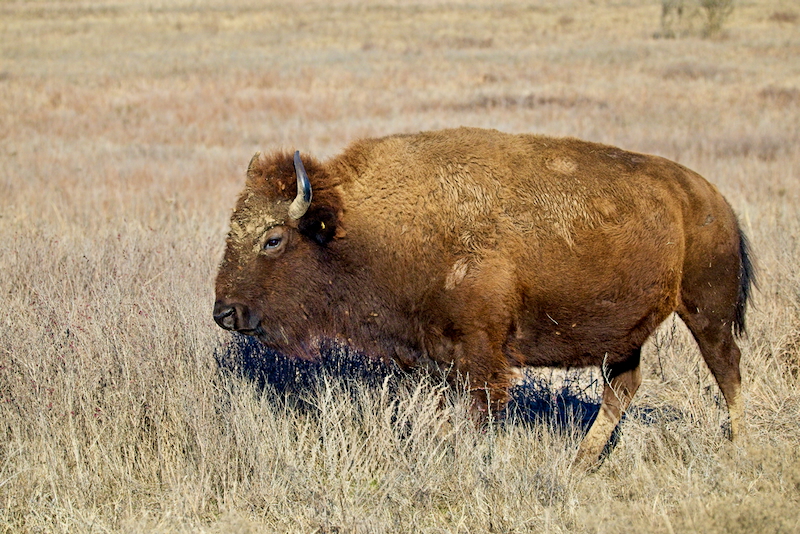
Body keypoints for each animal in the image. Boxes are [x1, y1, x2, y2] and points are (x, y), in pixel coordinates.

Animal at [212, 127, 752, 466]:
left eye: (273, 239)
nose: (224, 312)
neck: (356, 224)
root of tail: (713, 199)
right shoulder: (431, 355)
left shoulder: (480, 353)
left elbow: (478, 413)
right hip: (625, 337)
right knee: (623, 386)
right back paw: (580, 462)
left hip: (706, 311)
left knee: (727, 368)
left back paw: (737, 446)